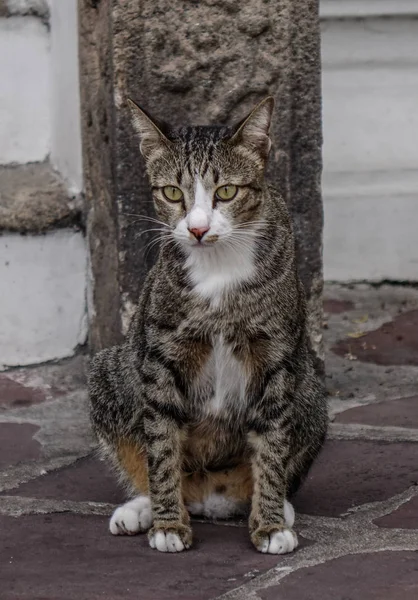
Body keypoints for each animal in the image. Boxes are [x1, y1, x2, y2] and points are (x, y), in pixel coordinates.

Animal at [90, 97, 328, 552]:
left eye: (227, 192)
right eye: (171, 192)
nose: (197, 228)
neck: (218, 268)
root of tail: (208, 497)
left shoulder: (276, 355)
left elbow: (272, 446)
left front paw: (270, 523)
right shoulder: (160, 355)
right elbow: (162, 445)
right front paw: (167, 524)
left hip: (311, 386)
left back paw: (276, 506)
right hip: (109, 369)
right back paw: (143, 508)